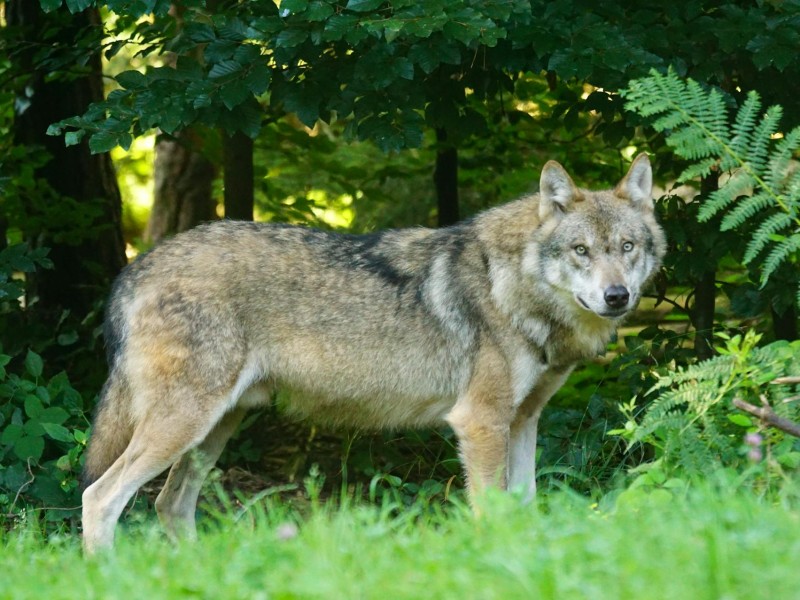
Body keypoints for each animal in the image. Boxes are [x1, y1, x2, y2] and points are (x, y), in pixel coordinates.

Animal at [80, 153, 665, 552]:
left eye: (627, 248)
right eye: (581, 251)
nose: (617, 296)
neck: (512, 285)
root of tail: (136, 267)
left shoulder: (522, 421)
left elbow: (525, 507)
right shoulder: (480, 423)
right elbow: (492, 514)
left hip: (213, 430)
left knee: (169, 504)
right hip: (185, 425)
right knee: (100, 498)